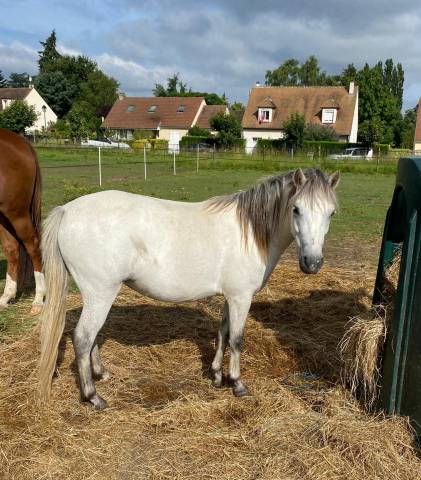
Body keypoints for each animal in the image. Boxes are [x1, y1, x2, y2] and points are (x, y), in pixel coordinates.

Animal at [38, 168, 338, 408]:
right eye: (296, 209)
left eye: (331, 213)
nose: (312, 263)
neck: (251, 232)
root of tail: (67, 210)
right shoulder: (241, 298)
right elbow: (237, 339)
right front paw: (237, 383)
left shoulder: (230, 297)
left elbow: (223, 332)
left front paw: (216, 375)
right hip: (100, 293)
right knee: (83, 338)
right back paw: (93, 396)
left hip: (100, 296)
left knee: (92, 338)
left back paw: (101, 374)